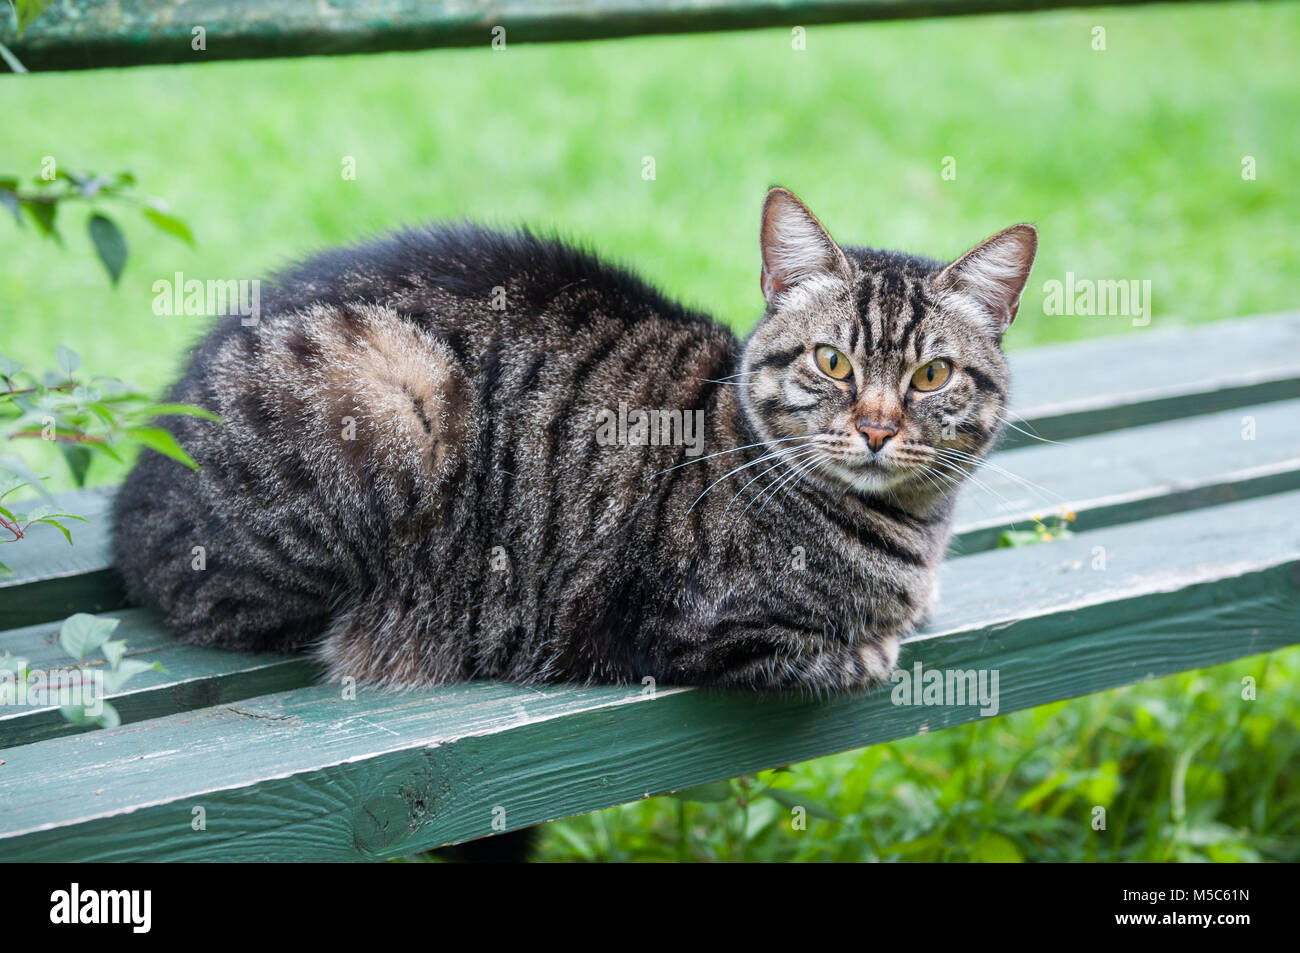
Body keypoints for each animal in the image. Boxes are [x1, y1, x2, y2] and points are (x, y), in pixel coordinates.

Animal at [116, 187, 1040, 691]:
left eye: (931, 376)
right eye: (832, 360)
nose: (878, 427)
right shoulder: (689, 630)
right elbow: (852, 653)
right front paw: (880, 638)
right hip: (390, 389)